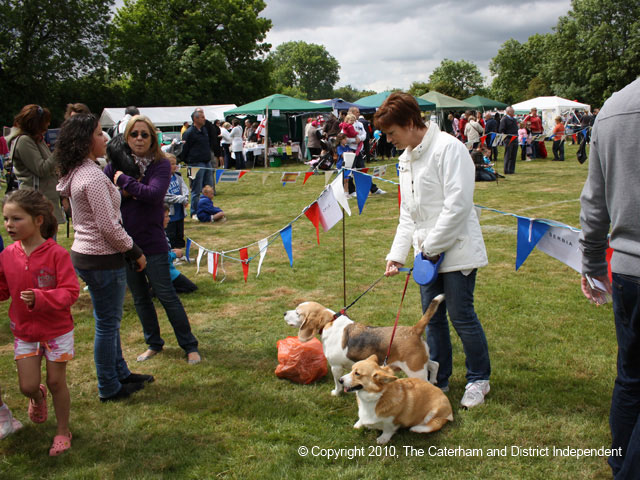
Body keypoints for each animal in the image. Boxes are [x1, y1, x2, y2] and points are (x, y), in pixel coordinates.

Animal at [282, 294, 442, 396]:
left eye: (297, 313)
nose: (284, 313)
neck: (329, 322)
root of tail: (414, 329)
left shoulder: (335, 367)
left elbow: (337, 383)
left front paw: (336, 393)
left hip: (415, 370)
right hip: (421, 363)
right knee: (435, 365)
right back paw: (435, 380)